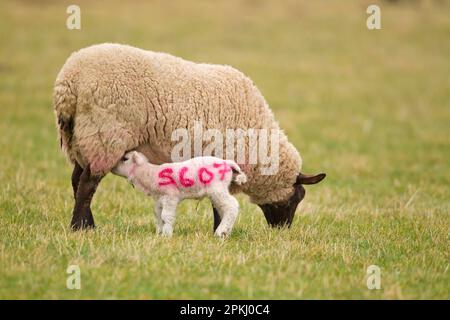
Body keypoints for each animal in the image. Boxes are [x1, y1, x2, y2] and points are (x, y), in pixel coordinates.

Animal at [112, 151, 246, 238]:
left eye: (125, 159)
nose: (112, 167)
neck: (150, 174)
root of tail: (226, 163)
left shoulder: (171, 196)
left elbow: (166, 216)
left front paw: (166, 235)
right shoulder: (160, 199)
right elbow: (158, 214)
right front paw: (159, 233)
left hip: (217, 189)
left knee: (232, 205)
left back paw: (221, 232)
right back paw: (226, 232)